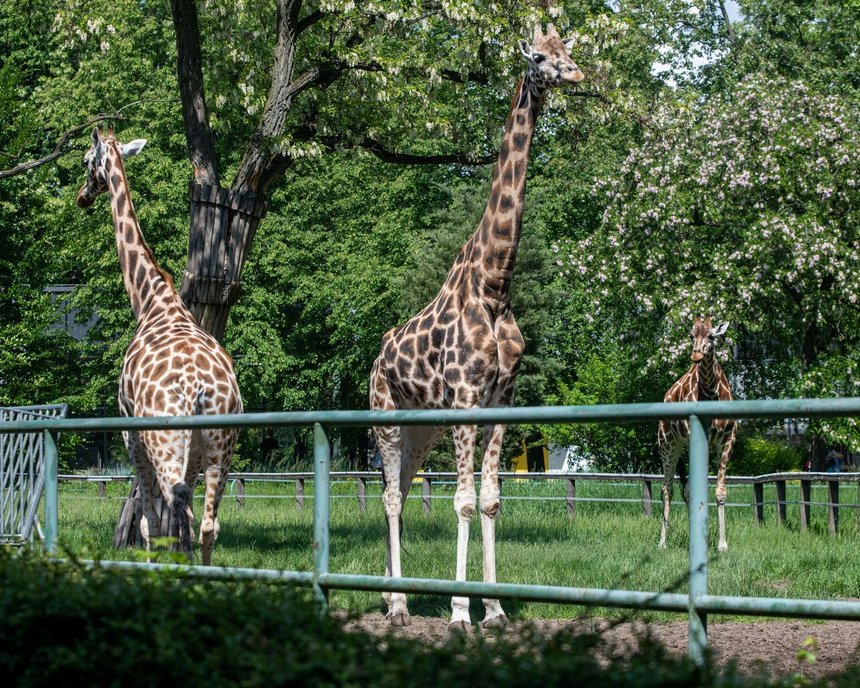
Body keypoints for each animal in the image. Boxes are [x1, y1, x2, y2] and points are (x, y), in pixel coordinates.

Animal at [76, 127, 242, 564]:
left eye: (86, 160)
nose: (82, 196)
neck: (150, 302)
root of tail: (199, 389)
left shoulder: (130, 434)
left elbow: (150, 523)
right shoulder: (196, 453)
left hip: (164, 441)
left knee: (176, 504)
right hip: (221, 446)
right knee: (207, 523)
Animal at [370, 25, 584, 628]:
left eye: (568, 51)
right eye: (540, 58)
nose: (576, 74)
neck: (495, 286)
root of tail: (373, 360)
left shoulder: (502, 397)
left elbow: (489, 500)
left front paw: (494, 609)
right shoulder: (466, 394)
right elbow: (462, 501)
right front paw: (460, 611)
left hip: (422, 428)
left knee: (400, 489)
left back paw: (395, 597)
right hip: (387, 418)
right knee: (389, 497)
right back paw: (398, 606)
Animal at [656, 318, 736, 552]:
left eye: (712, 336)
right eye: (691, 335)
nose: (696, 355)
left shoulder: (728, 440)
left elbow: (720, 492)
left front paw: (722, 544)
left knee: (686, 490)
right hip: (667, 443)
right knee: (668, 489)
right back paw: (662, 542)